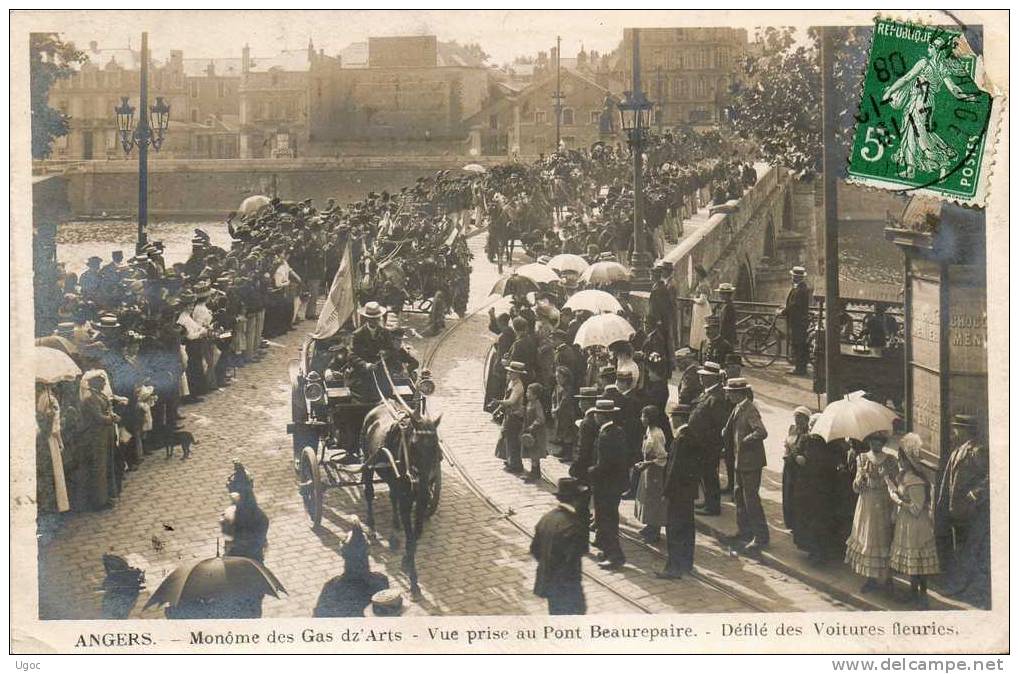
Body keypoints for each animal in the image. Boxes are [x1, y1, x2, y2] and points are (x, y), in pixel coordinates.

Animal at [362, 385, 442, 595]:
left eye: (436, 445)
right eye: (413, 445)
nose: (423, 487)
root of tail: (379, 405)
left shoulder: (420, 502)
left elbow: (416, 534)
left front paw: (406, 560)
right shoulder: (408, 502)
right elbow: (411, 537)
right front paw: (413, 581)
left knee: (392, 496)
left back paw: (394, 527)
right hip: (367, 462)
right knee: (369, 493)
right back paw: (372, 527)